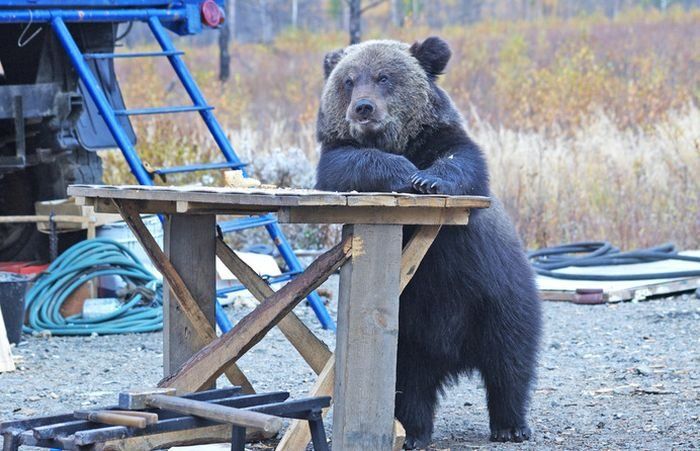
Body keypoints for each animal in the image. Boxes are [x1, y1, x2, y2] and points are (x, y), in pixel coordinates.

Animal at [314, 37, 542, 448]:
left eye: (384, 76)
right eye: (348, 80)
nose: (363, 107)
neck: (401, 141)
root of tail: (453, 356)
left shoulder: (444, 138)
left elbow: (462, 161)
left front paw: (428, 179)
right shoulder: (337, 156)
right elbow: (351, 163)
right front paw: (404, 173)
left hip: (497, 296)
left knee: (510, 359)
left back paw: (510, 424)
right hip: (410, 328)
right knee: (410, 383)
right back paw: (414, 433)